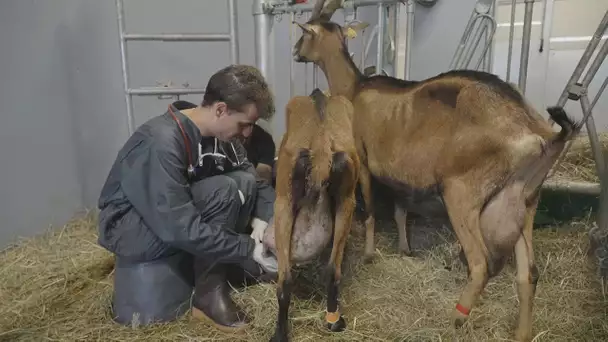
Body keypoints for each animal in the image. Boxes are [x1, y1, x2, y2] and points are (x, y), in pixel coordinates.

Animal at [262, 87, 360, 340]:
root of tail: (321, 145)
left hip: (284, 205)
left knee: (285, 280)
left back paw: (280, 334)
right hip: (345, 203)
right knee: (331, 271)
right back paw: (333, 321)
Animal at [290, 1, 584, 340]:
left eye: (305, 32)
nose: (295, 52)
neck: (355, 88)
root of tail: (539, 134)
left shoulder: (363, 160)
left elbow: (371, 209)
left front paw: (369, 254)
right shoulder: (399, 172)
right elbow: (401, 209)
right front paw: (405, 248)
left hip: (462, 193)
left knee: (480, 264)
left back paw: (455, 319)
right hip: (525, 201)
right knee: (529, 273)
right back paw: (521, 332)